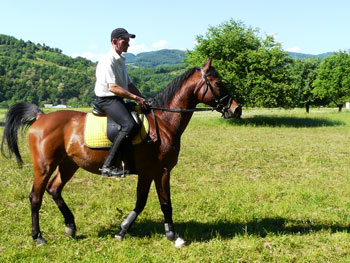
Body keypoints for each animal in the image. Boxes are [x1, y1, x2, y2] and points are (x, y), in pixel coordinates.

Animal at [0, 58, 241, 246]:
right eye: (218, 83)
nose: (236, 109)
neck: (164, 122)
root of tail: (41, 116)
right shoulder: (161, 171)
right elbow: (164, 203)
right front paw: (172, 235)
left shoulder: (149, 173)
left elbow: (141, 202)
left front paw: (123, 229)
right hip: (44, 165)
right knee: (36, 197)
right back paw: (38, 237)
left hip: (69, 164)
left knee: (54, 189)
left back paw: (70, 225)